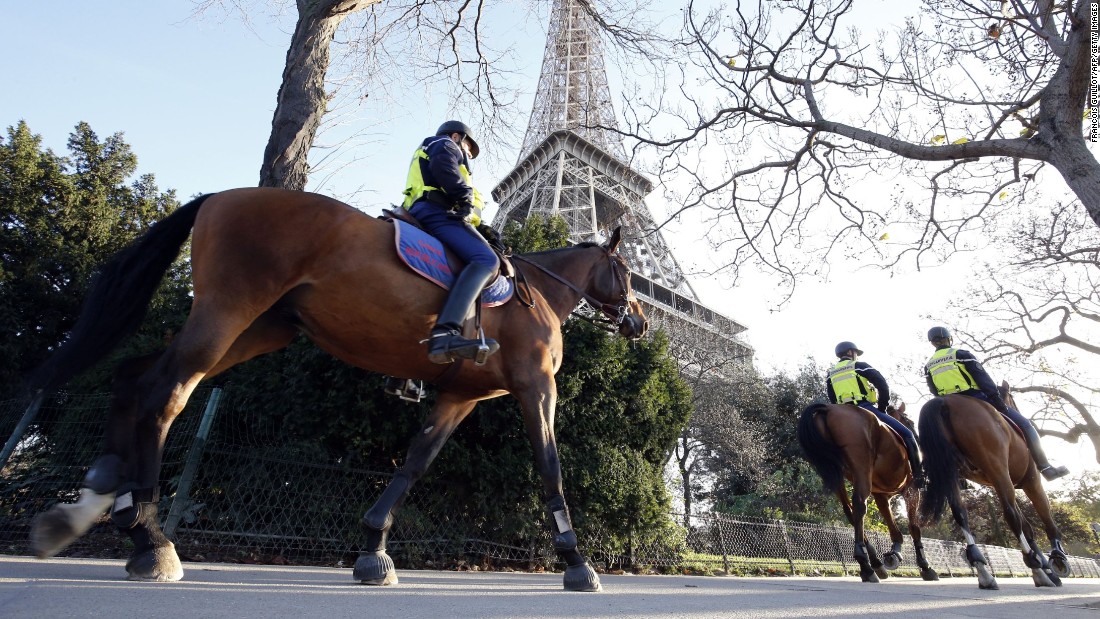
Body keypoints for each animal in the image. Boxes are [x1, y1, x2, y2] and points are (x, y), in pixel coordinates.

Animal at [23, 188, 642, 589]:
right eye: (629, 275)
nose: (638, 320)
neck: (539, 292)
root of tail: (218, 195)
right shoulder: (536, 386)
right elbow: (550, 466)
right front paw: (576, 561)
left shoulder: (458, 396)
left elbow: (413, 464)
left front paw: (373, 549)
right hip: (226, 313)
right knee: (165, 393)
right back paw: (151, 538)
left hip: (258, 329)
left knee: (133, 375)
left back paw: (101, 502)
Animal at [796, 404, 941, 584]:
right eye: (910, 422)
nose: (918, 439)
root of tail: (828, 410)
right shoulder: (910, 490)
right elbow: (914, 526)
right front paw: (925, 566)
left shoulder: (881, 496)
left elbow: (892, 525)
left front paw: (895, 552)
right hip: (861, 467)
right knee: (859, 505)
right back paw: (865, 565)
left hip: (836, 472)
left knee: (850, 511)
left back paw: (875, 562)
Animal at [915, 384, 1069, 593]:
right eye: (1012, 399)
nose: (1011, 408)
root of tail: (944, 402)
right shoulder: (1031, 481)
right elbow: (1044, 516)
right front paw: (1056, 559)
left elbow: (1028, 527)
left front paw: (1048, 567)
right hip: (998, 468)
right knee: (1010, 515)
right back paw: (1036, 568)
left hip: (953, 472)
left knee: (960, 513)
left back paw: (983, 570)